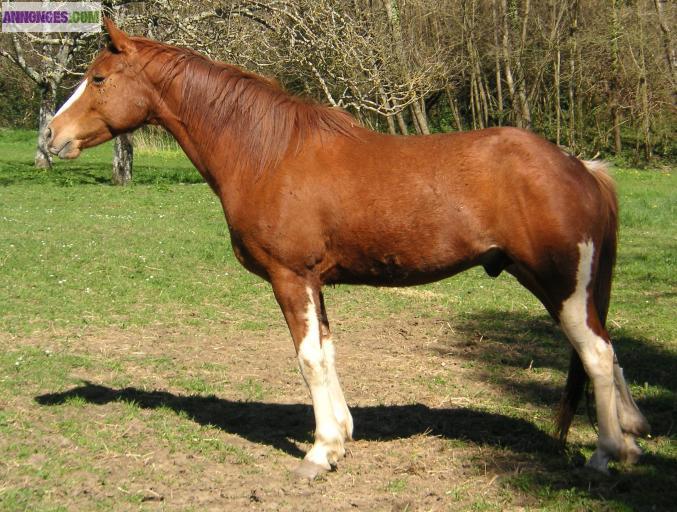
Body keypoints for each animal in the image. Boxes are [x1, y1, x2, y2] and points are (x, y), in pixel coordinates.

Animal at [46, 18, 649, 479]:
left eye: (97, 78)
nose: (50, 136)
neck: (268, 152)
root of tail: (579, 165)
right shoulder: (314, 282)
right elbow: (328, 353)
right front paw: (340, 436)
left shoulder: (290, 277)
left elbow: (308, 358)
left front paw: (318, 453)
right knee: (608, 350)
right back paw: (631, 439)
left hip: (559, 285)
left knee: (597, 355)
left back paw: (605, 454)